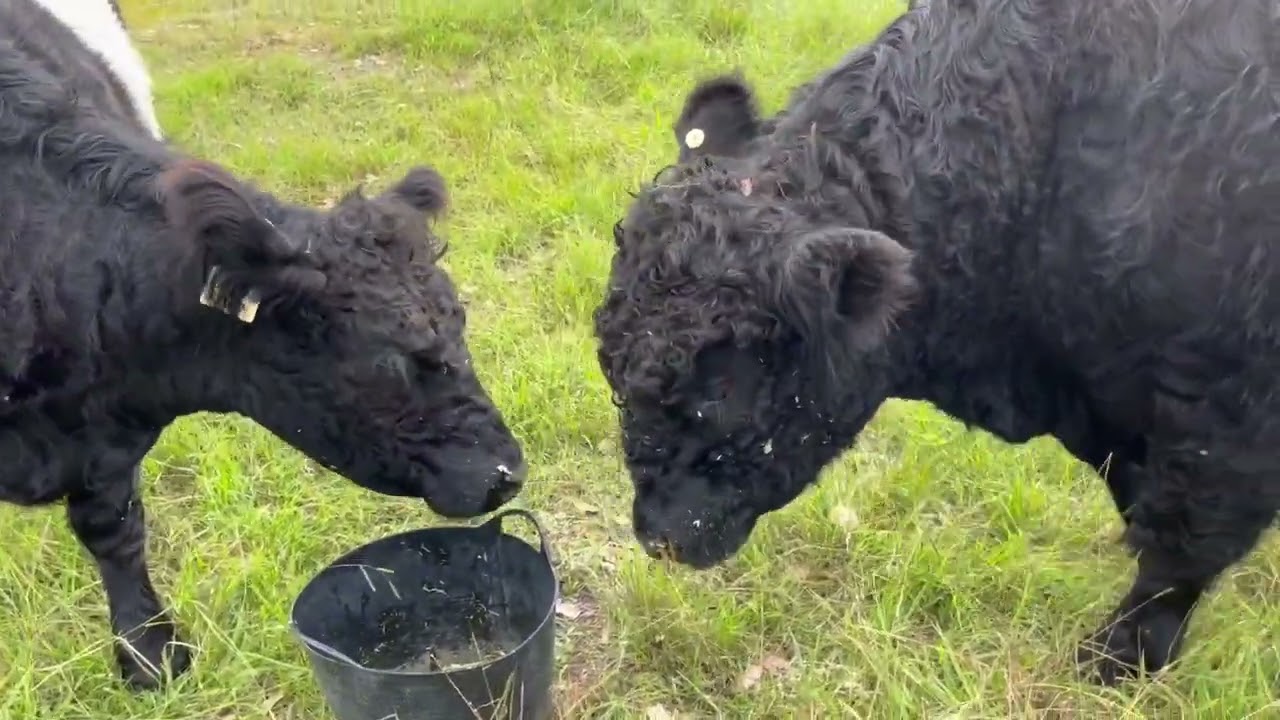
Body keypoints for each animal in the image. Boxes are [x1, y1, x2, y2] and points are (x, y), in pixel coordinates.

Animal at [0, 0, 526, 689]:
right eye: (396, 357)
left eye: (460, 320)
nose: (509, 472)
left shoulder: (107, 439)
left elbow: (115, 533)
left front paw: (151, 657)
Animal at [594, 0, 1280, 686]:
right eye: (613, 367)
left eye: (722, 388)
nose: (657, 535)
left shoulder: (1224, 423)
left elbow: (1175, 558)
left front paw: (1119, 661)